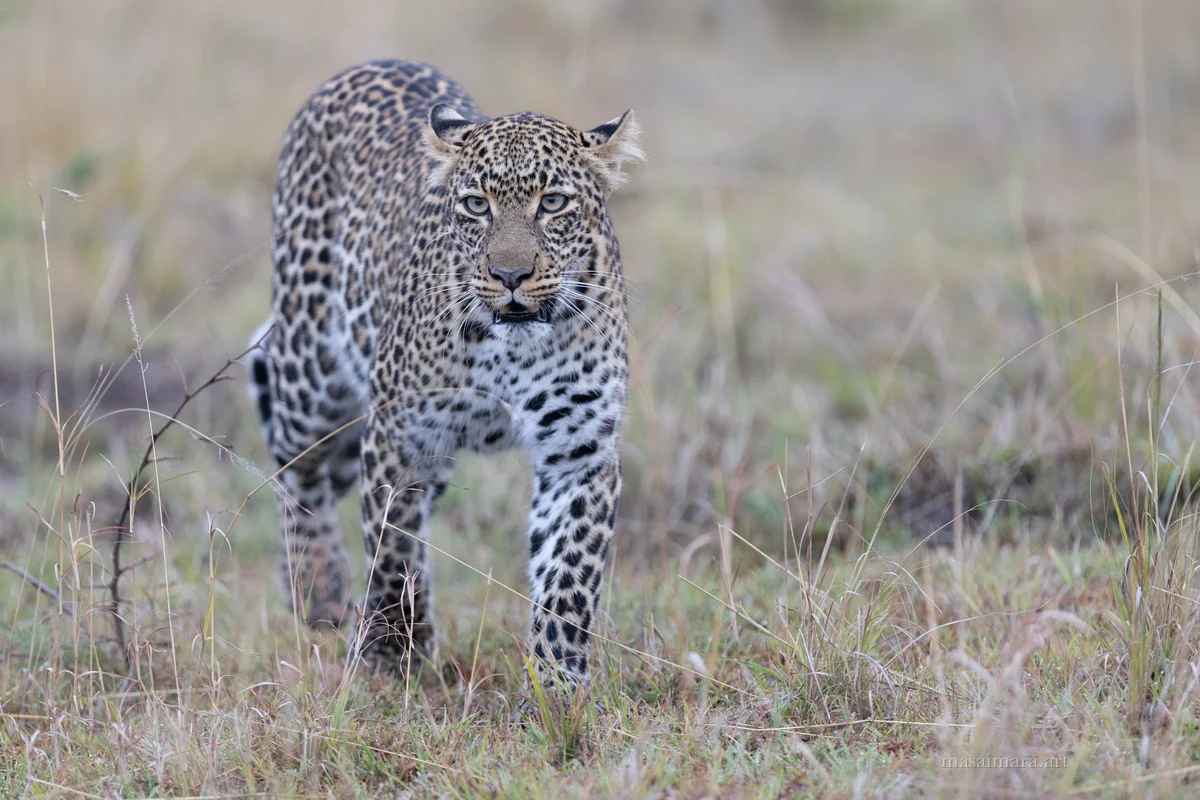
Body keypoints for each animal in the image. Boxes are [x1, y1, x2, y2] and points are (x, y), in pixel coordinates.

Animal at [246, 60, 641, 698]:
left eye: (553, 202)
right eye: (477, 205)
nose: (510, 275)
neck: (512, 350)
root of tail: (373, 62)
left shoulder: (579, 450)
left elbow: (568, 577)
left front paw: (558, 687)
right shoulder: (397, 435)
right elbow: (392, 552)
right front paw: (389, 657)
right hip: (313, 375)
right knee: (296, 465)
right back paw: (318, 590)